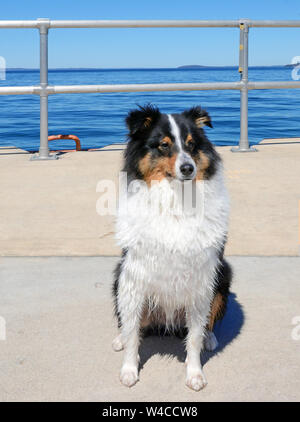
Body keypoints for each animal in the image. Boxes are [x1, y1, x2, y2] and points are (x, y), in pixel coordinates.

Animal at [112, 105, 232, 392]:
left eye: (191, 144)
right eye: (163, 145)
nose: (188, 168)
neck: (175, 199)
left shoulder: (201, 280)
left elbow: (194, 336)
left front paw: (194, 374)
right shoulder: (133, 274)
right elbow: (132, 332)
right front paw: (129, 370)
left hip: (224, 276)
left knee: (206, 323)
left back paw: (210, 338)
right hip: (117, 277)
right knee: (132, 325)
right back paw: (120, 338)